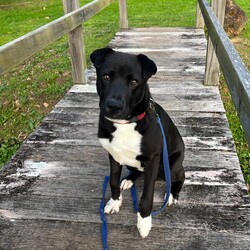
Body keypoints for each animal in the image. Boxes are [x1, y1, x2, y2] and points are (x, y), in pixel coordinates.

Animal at [91, 47, 185, 238]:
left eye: (134, 82)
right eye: (106, 76)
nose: (114, 106)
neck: (126, 124)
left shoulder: (153, 159)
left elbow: (147, 196)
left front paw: (144, 222)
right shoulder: (114, 155)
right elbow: (113, 181)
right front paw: (115, 202)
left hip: (167, 167)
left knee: (181, 175)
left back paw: (172, 194)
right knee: (136, 171)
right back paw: (128, 179)